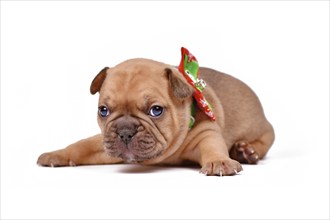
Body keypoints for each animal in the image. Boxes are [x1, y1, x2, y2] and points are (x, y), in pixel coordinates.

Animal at [37, 58, 274, 175]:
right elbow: (82, 145)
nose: (124, 131)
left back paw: (246, 152)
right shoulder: (104, 142)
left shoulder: (206, 132)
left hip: (264, 132)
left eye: (156, 110)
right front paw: (57, 154)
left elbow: (213, 147)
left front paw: (219, 161)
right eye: (103, 110)